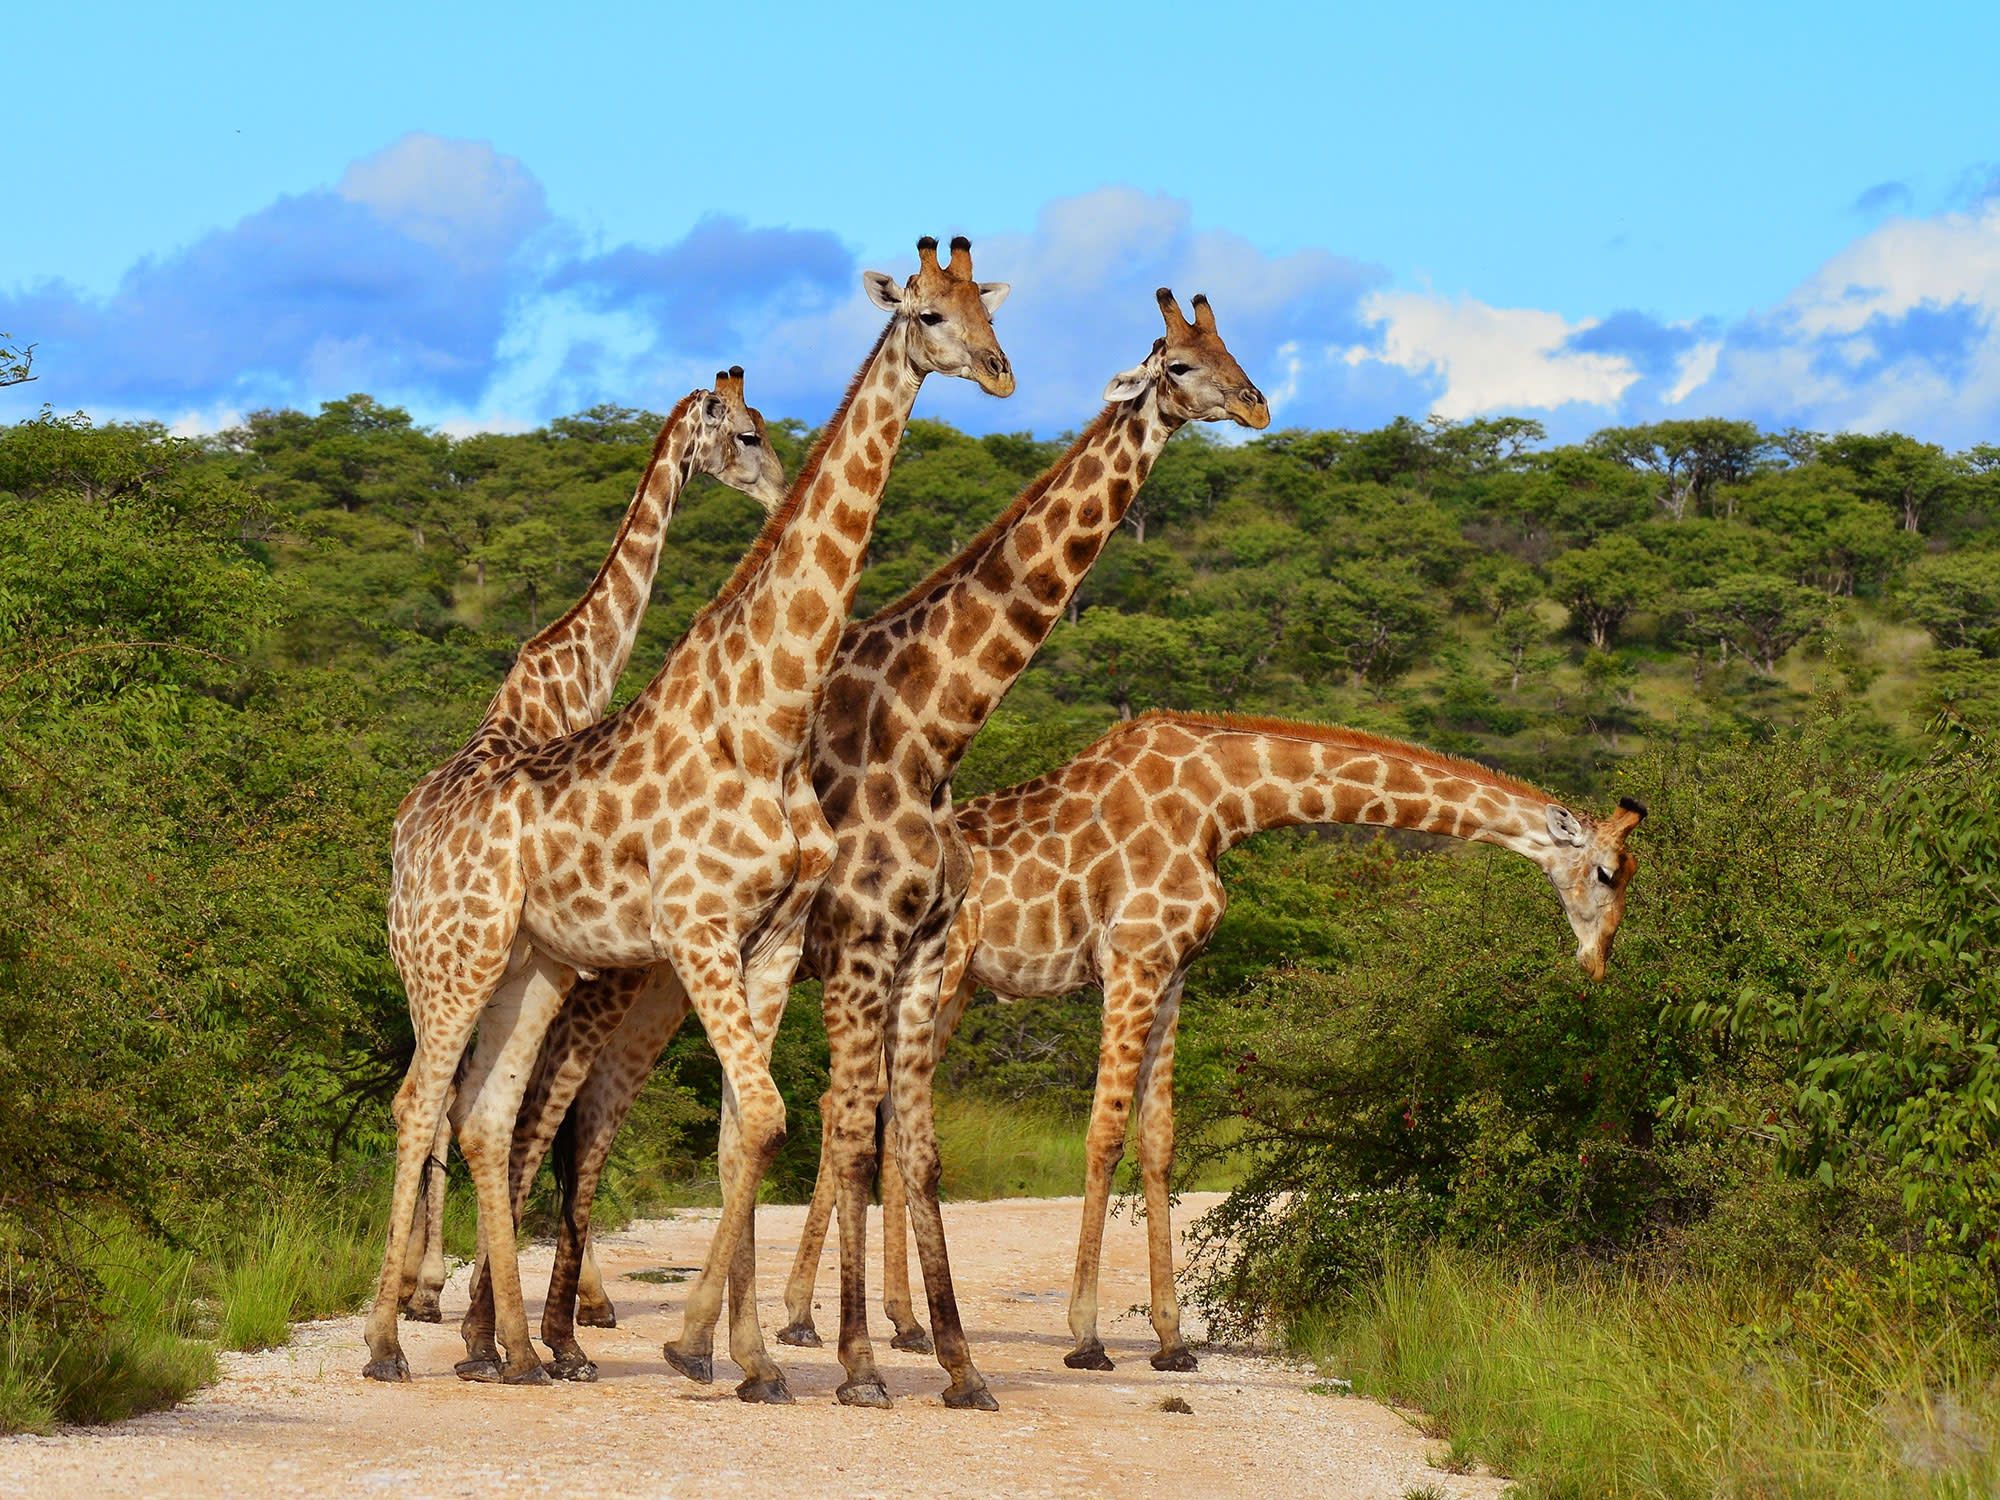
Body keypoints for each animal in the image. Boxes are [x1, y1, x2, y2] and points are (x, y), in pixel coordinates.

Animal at [388, 368, 780, 1328]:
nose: (778, 491)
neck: (573, 676)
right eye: (747, 434)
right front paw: (574, 1301)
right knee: (437, 1095)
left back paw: (420, 1287)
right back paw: (425, 1290)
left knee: (431, 1093)